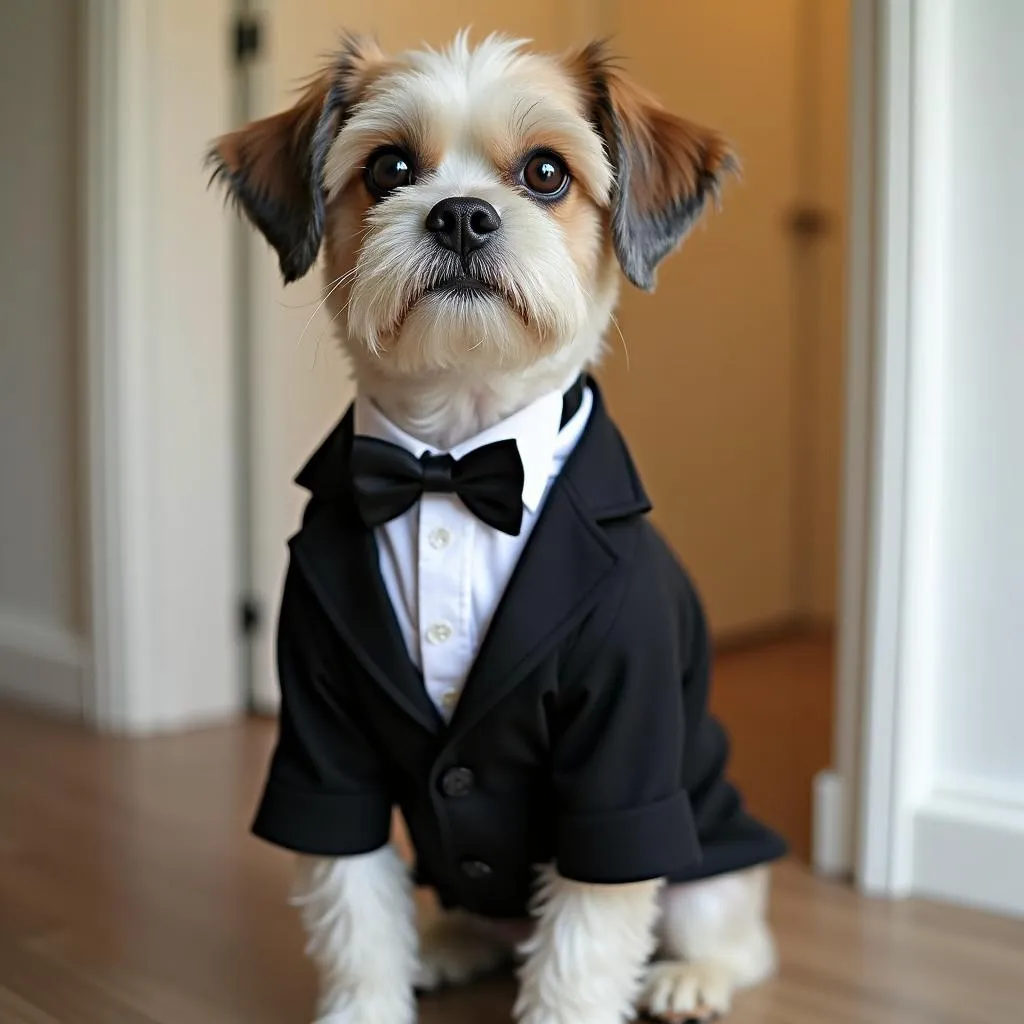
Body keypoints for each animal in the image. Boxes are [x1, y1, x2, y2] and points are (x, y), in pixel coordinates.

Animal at [205, 29, 782, 1024]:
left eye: (546, 172)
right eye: (390, 168)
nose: (463, 217)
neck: (452, 466)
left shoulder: (620, 757)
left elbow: (584, 948)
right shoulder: (324, 744)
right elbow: (358, 918)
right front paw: (370, 1002)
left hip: (709, 839)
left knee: (737, 931)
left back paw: (693, 976)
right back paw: (451, 942)